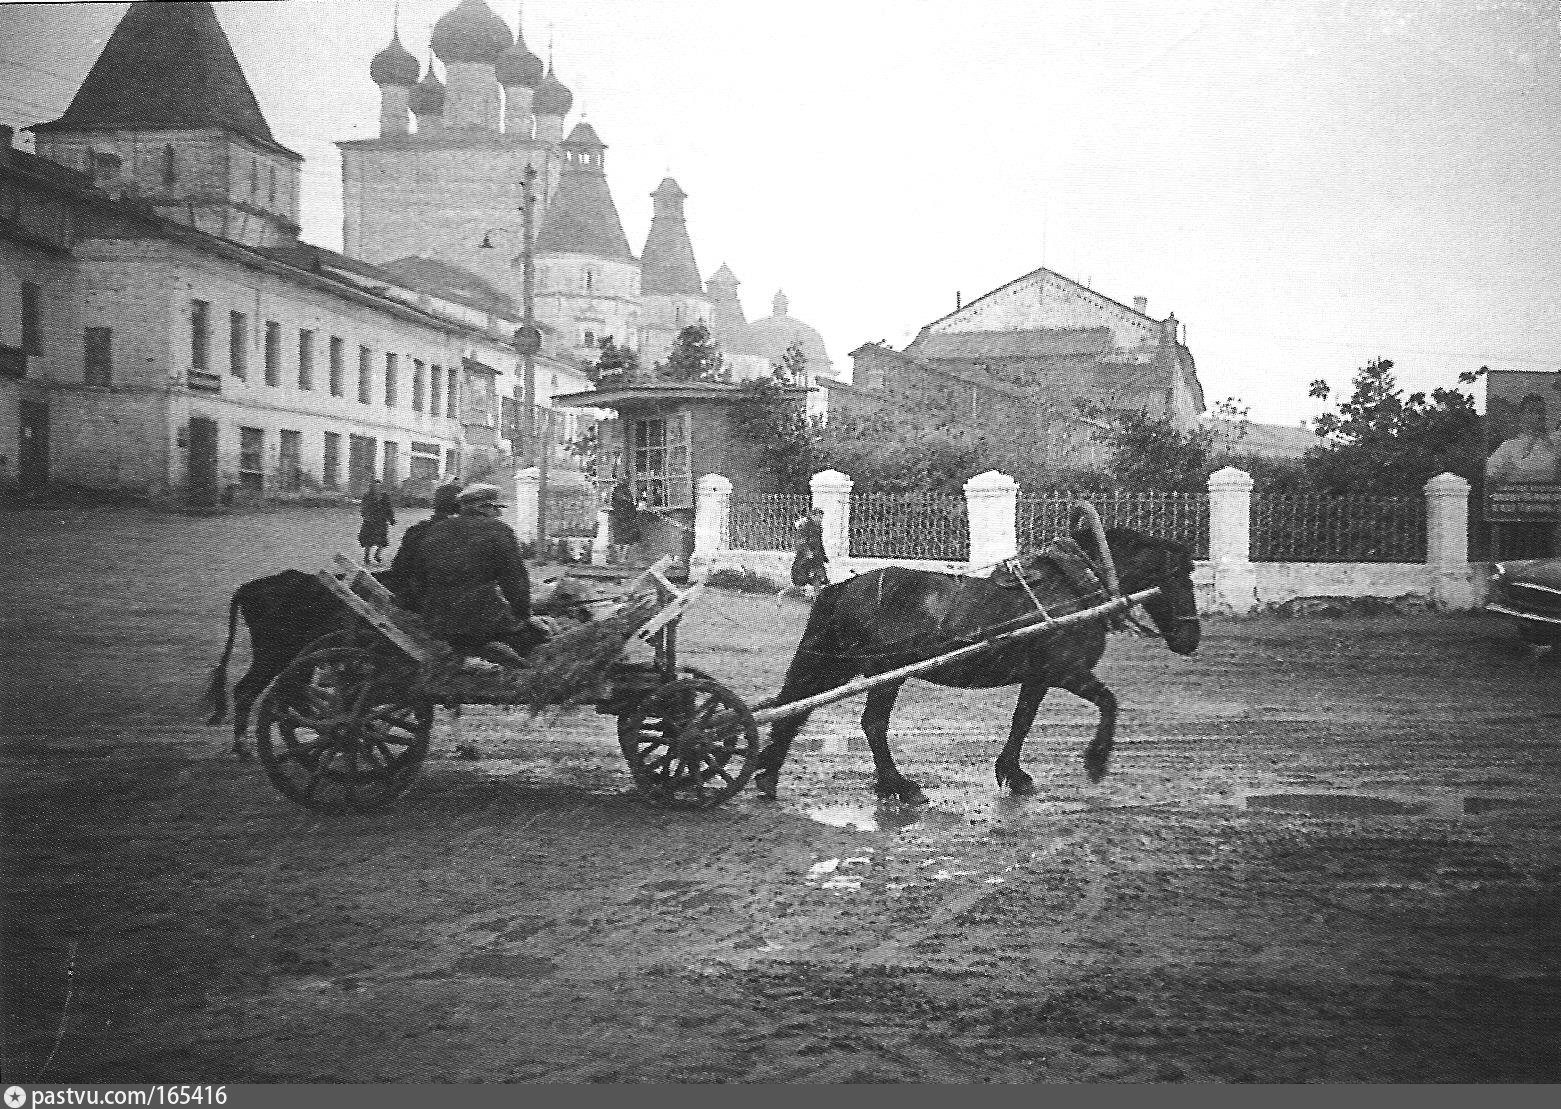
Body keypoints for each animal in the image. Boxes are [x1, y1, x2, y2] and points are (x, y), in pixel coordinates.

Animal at [749, 521, 1198, 805]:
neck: (1079, 585)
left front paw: (1013, 773)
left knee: (794, 711)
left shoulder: (1038, 677)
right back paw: (899, 786)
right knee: (871, 724)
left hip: (839, 666)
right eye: (1180, 576)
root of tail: (843, 586)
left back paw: (769, 775)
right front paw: (1096, 761)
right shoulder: (1068, 672)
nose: (1190, 639)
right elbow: (1109, 702)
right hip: (884, 673)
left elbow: (1023, 720)